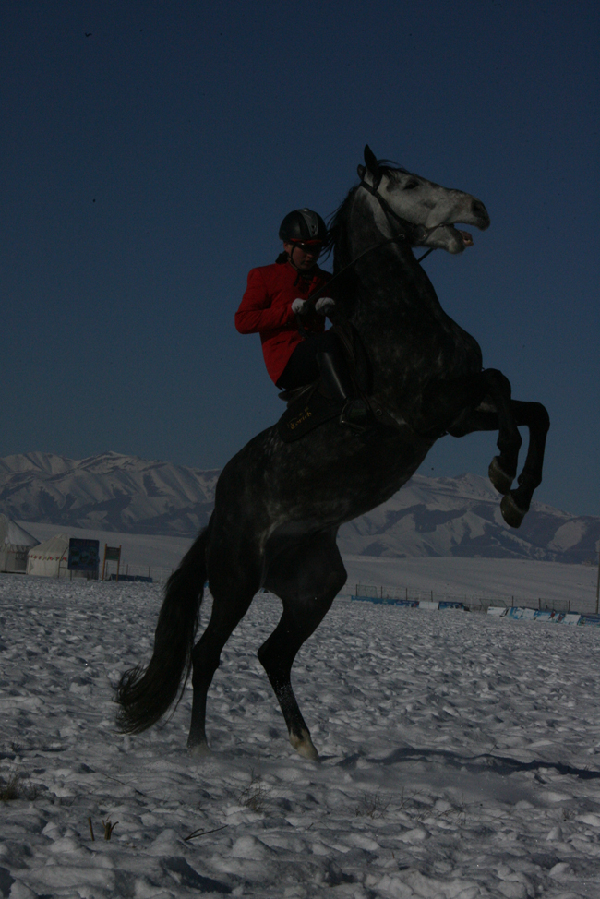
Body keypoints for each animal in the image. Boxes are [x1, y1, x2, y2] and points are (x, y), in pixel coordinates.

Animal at [116, 148, 548, 760]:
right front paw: (504, 471)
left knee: (273, 654)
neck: (399, 316)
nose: (479, 208)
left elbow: (530, 407)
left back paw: (306, 745)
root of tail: (219, 511)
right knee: (206, 653)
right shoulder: (428, 411)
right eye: (408, 182)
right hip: (237, 581)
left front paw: (517, 495)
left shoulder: (459, 416)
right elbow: (502, 383)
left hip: (316, 586)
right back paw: (199, 746)